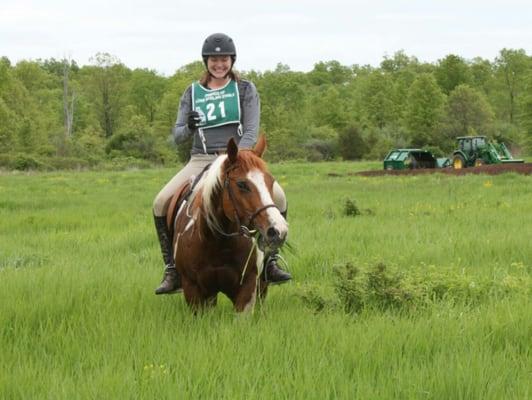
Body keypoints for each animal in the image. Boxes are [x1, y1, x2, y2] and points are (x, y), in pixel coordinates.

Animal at [169, 136, 286, 314]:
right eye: (242, 184)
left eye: (271, 181)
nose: (277, 230)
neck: (217, 243)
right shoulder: (193, 291)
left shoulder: (247, 289)